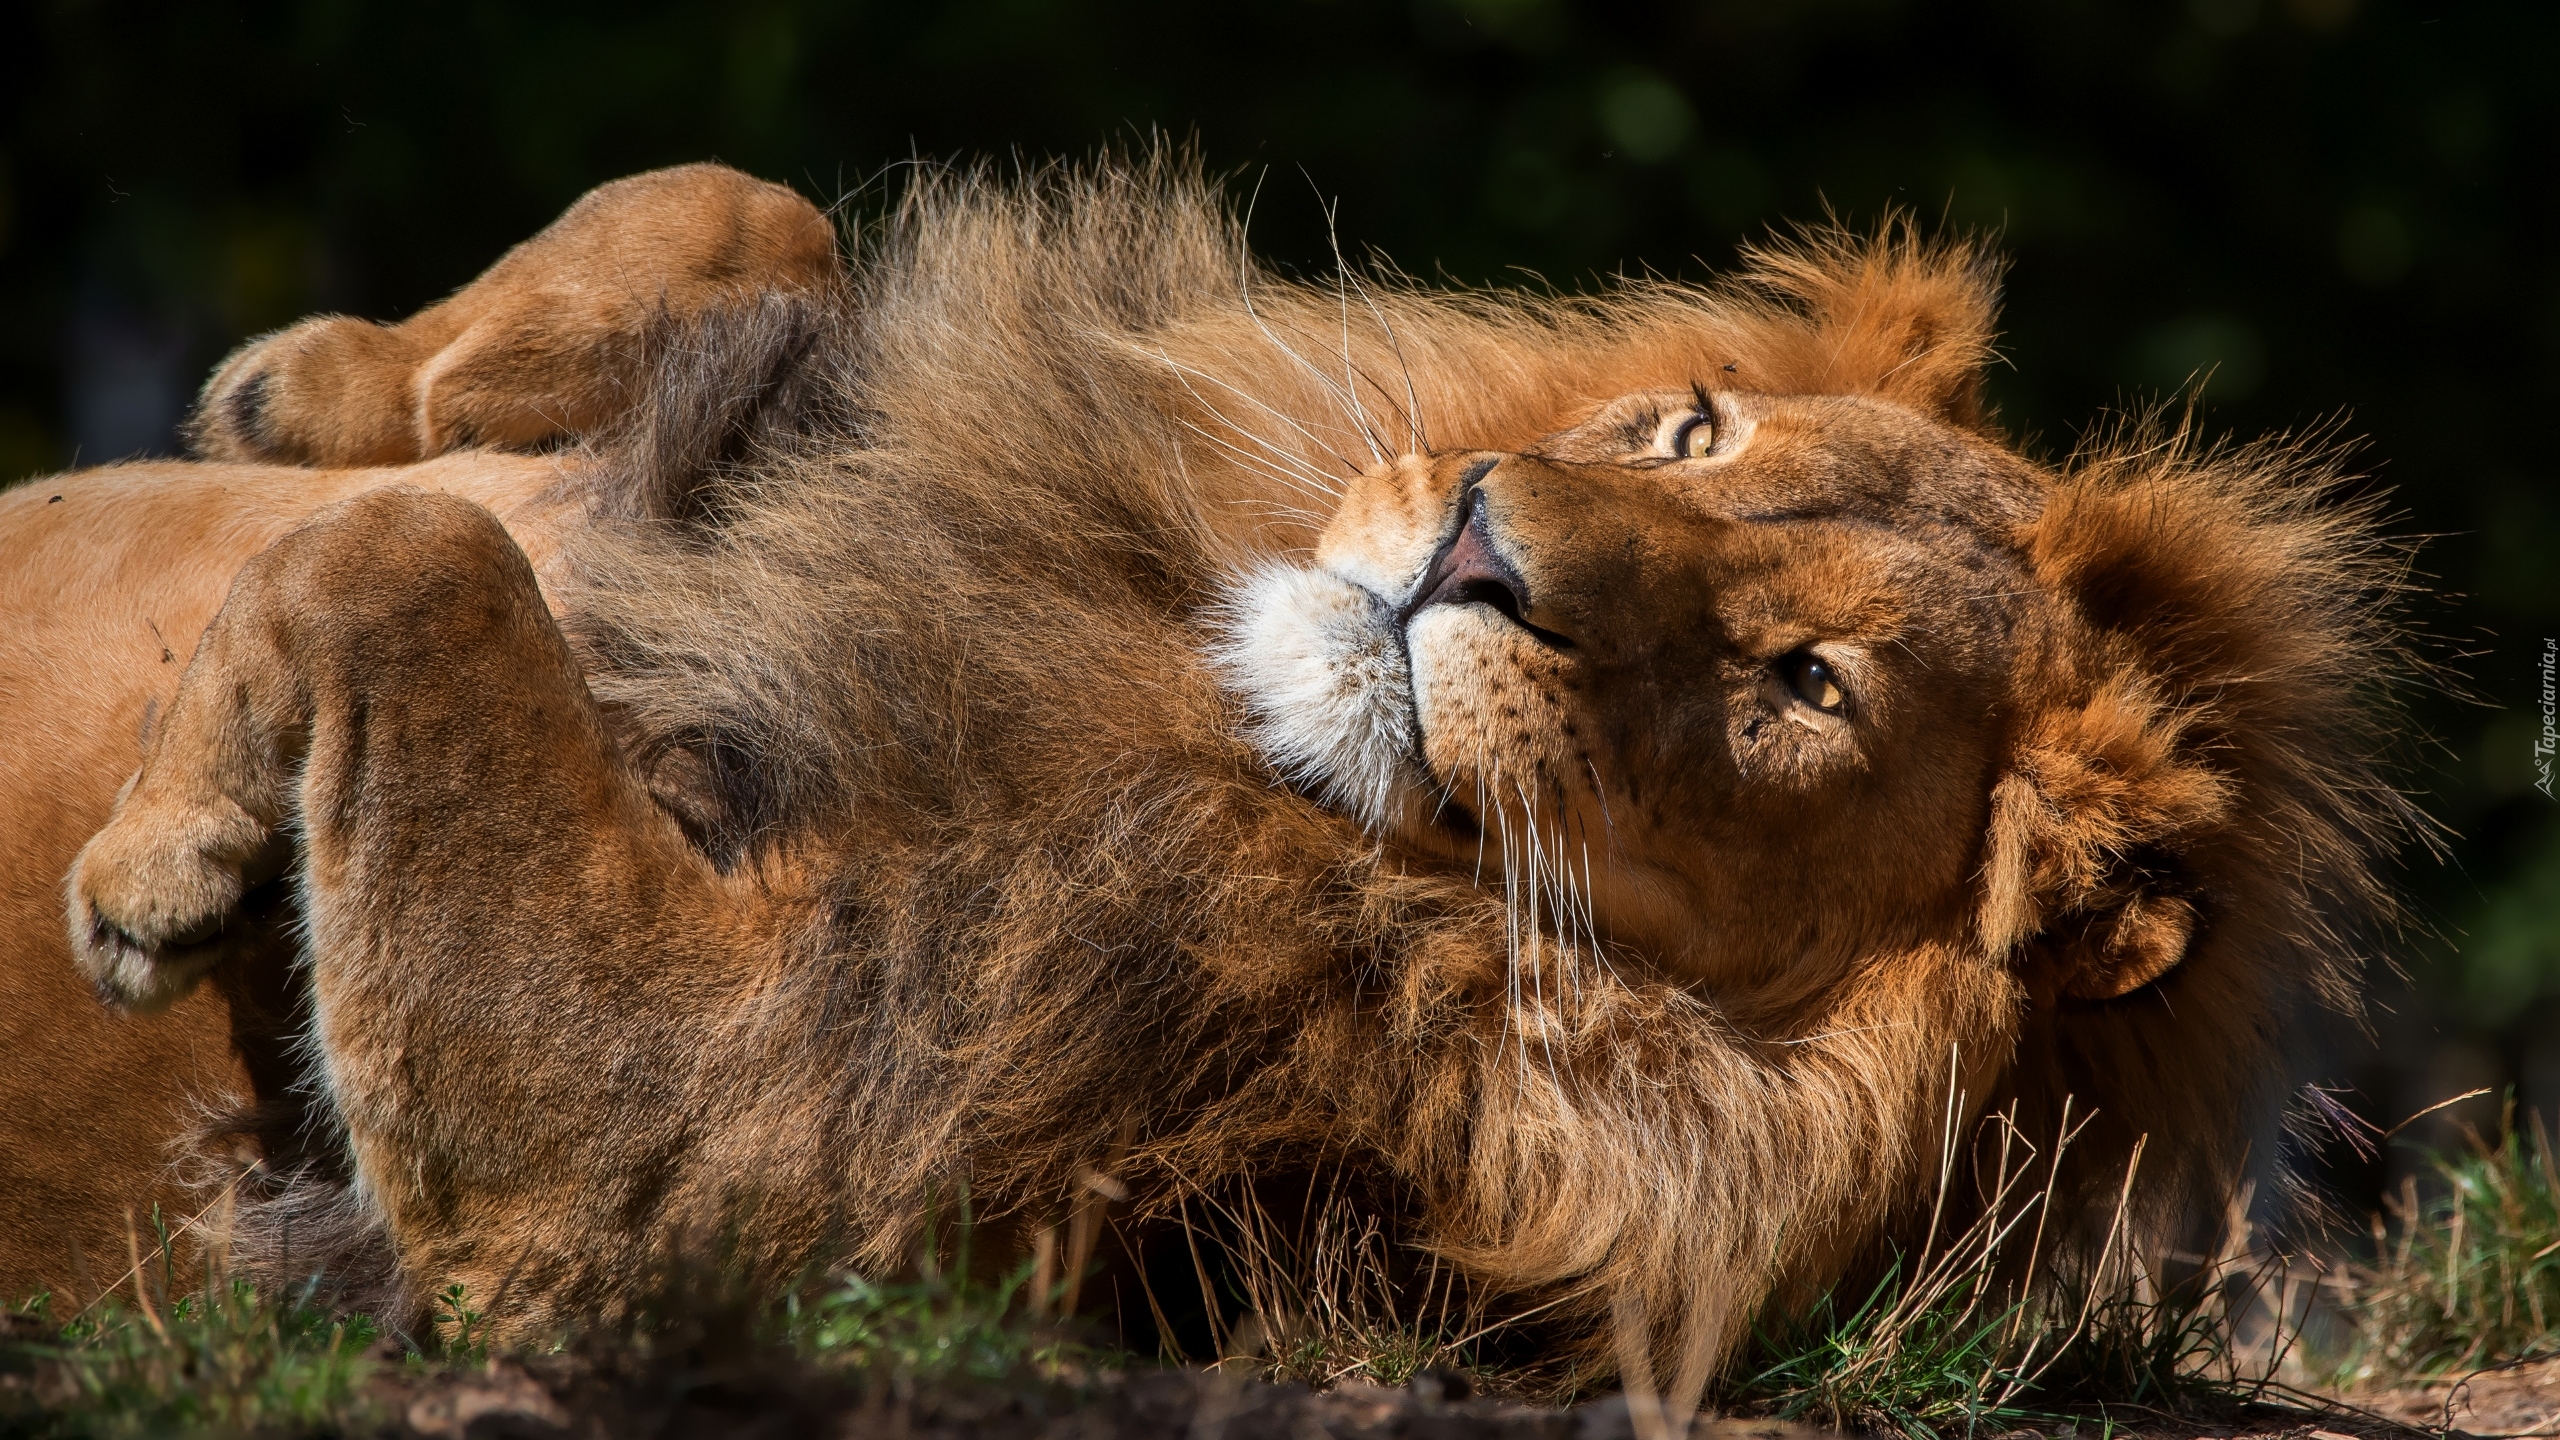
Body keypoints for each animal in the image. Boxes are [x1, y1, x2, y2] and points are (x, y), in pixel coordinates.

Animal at [24, 156, 2416, 1383]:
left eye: (1804, 686)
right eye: (1691, 431)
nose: (1477, 543)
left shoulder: (678, 1170)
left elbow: (408, 565)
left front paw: (164, 858)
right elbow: (745, 209)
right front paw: (320, 385)